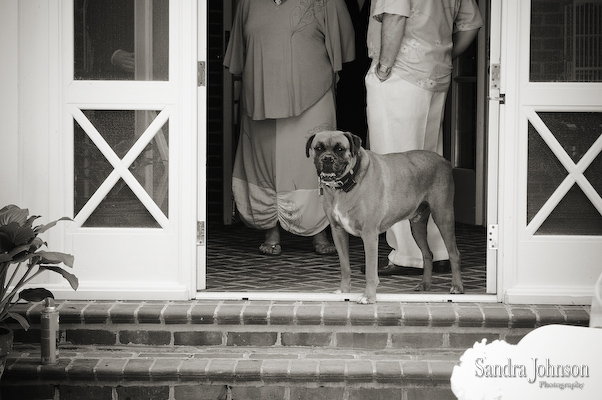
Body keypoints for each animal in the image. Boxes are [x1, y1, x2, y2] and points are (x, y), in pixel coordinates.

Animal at [308, 130, 462, 304]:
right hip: (417, 226)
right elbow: (345, 266)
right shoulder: (338, 232)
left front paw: (368, 296)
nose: (327, 158)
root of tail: (444, 160)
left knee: (454, 253)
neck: (345, 186)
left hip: (443, 217)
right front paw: (344, 290)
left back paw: (457, 287)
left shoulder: (369, 235)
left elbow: (370, 271)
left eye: (340, 149)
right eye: (319, 148)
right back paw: (425, 284)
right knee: (427, 254)